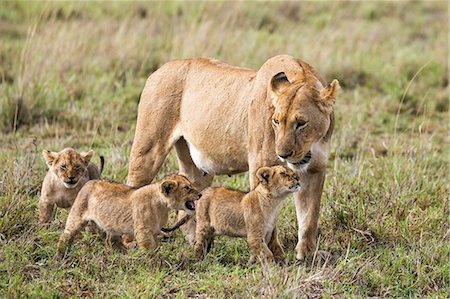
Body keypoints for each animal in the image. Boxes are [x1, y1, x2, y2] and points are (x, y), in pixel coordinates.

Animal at [126, 54, 338, 260]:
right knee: (133, 190)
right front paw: (274, 255)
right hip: (148, 151)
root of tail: (160, 69)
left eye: (301, 123)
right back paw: (131, 244)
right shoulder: (261, 163)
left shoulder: (315, 169)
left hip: (197, 170)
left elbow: (309, 216)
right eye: (276, 121)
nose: (283, 154)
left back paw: (197, 244)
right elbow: (265, 214)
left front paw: (308, 255)